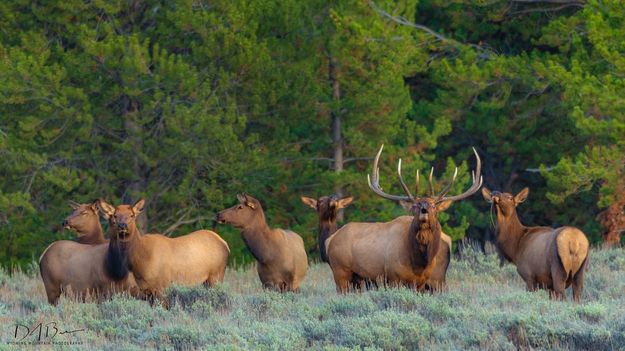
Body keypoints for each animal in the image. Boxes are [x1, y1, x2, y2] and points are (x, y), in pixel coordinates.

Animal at [98, 199, 230, 304]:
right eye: (115, 215)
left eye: (131, 215)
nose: (122, 225)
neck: (140, 260)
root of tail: (225, 243)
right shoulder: (146, 290)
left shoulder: (162, 286)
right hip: (206, 281)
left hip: (216, 275)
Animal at [324, 146, 480, 294]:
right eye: (416, 205)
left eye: (434, 206)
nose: (424, 209)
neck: (419, 263)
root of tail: (330, 239)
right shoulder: (394, 278)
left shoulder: (422, 282)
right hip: (340, 272)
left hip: (358, 279)